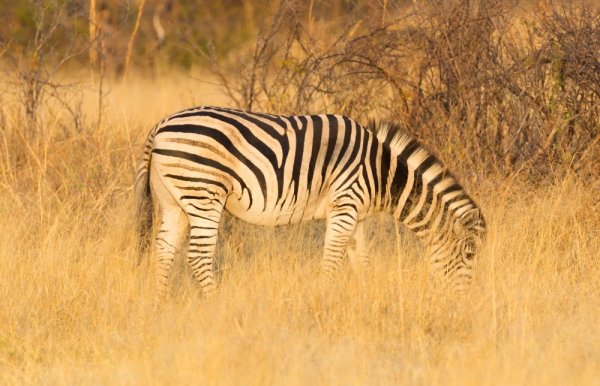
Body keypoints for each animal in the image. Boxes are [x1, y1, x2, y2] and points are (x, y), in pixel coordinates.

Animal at [134, 105, 486, 296]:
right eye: (469, 255)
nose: (461, 304)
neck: (381, 173)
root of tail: (160, 125)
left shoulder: (356, 214)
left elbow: (362, 263)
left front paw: (366, 300)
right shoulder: (345, 206)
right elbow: (331, 261)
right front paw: (325, 300)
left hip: (174, 201)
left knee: (163, 250)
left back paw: (161, 304)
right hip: (204, 192)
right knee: (198, 256)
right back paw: (216, 303)